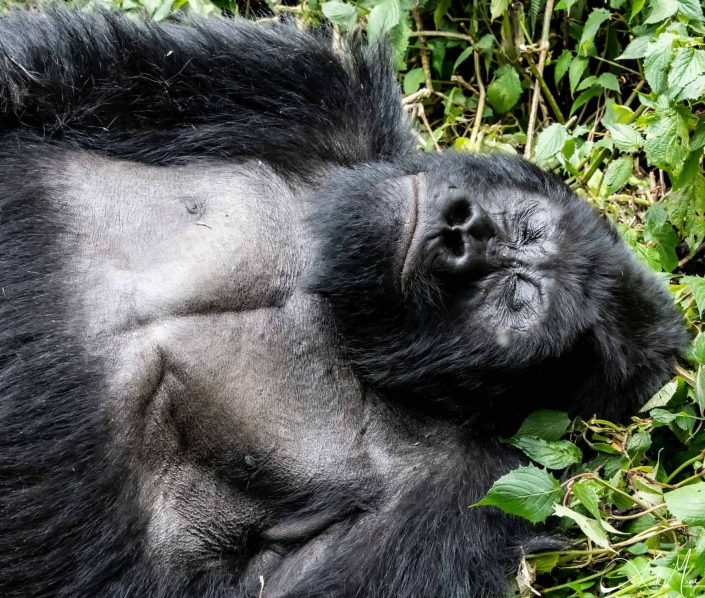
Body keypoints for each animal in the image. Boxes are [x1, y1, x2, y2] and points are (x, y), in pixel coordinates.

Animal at [0, 9, 684, 598]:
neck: (336, 305)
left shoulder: (466, 495)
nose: (463, 230)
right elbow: (45, 79)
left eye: (518, 297)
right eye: (525, 224)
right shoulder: (319, 98)